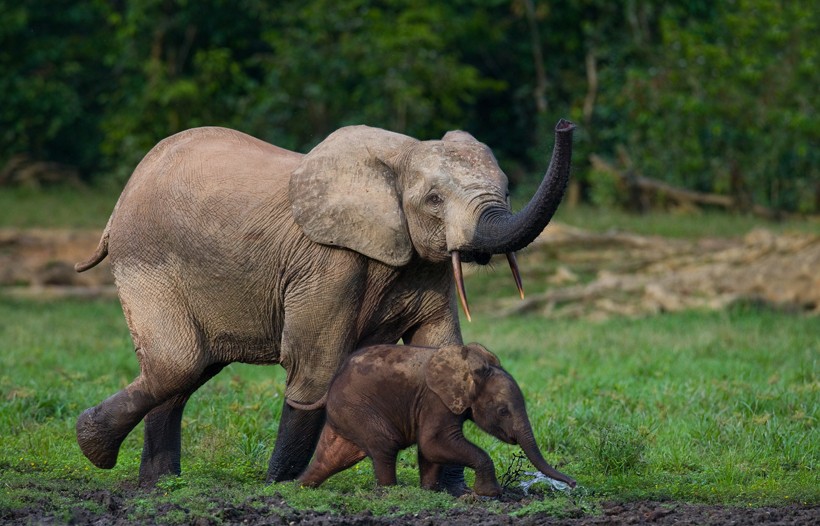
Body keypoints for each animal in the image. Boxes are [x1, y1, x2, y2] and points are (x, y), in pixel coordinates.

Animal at [294, 344, 576, 498]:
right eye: (503, 411)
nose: (573, 484)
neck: (470, 367)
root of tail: (332, 383)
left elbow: (430, 450)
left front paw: (430, 491)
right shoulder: (436, 400)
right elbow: (433, 443)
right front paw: (490, 494)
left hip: (346, 414)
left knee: (333, 457)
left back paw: (299, 487)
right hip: (357, 408)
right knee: (385, 444)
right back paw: (391, 493)